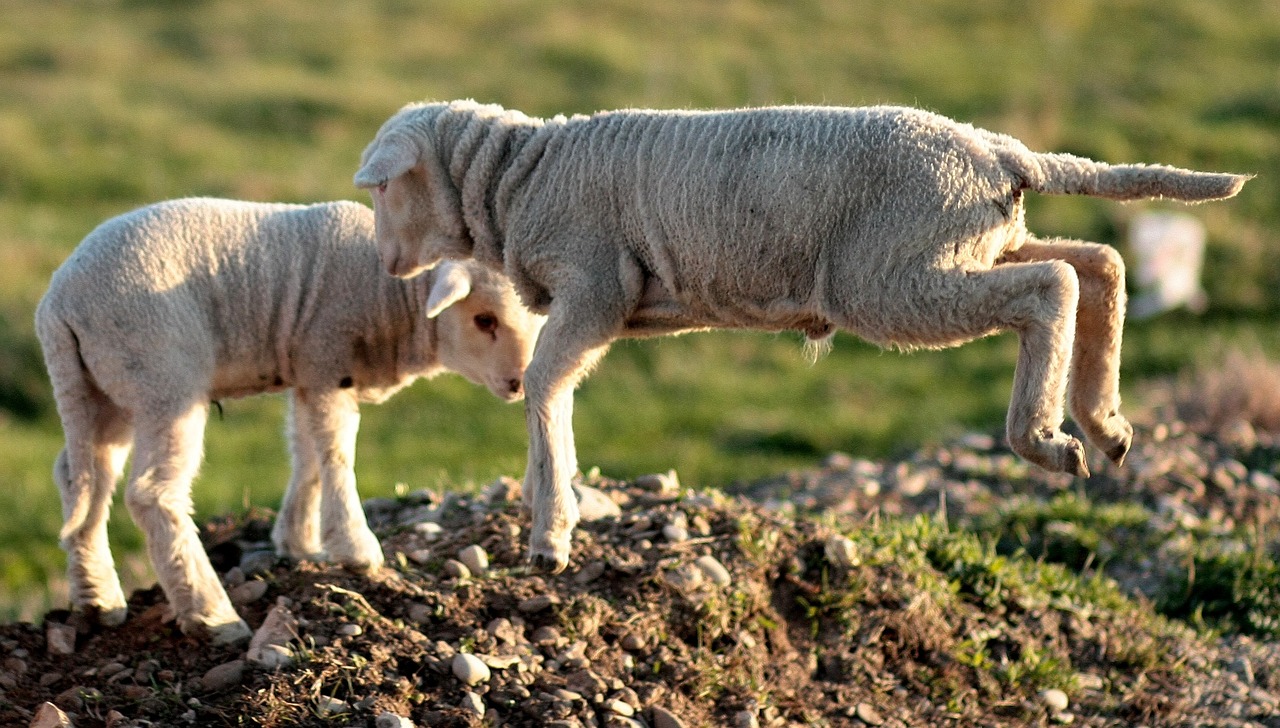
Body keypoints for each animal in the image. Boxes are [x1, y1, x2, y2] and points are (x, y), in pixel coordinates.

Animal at [35, 194, 545, 642]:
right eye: (484, 320)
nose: (519, 382)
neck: (390, 295)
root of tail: (59, 305)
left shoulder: (310, 370)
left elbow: (307, 452)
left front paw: (298, 542)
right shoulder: (327, 356)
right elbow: (336, 452)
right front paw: (356, 550)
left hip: (100, 389)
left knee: (81, 479)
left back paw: (98, 598)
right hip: (161, 375)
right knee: (151, 494)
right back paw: (212, 615)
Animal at [353, 97, 1249, 573]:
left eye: (386, 190)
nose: (385, 262)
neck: (513, 178)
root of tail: (1000, 151)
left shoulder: (596, 286)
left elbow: (542, 386)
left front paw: (549, 534)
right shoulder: (589, 304)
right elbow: (555, 392)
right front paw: (552, 512)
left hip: (892, 275)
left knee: (1052, 286)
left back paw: (1046, 437)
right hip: (959, 244)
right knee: (1096, 263)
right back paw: (1106, 422)